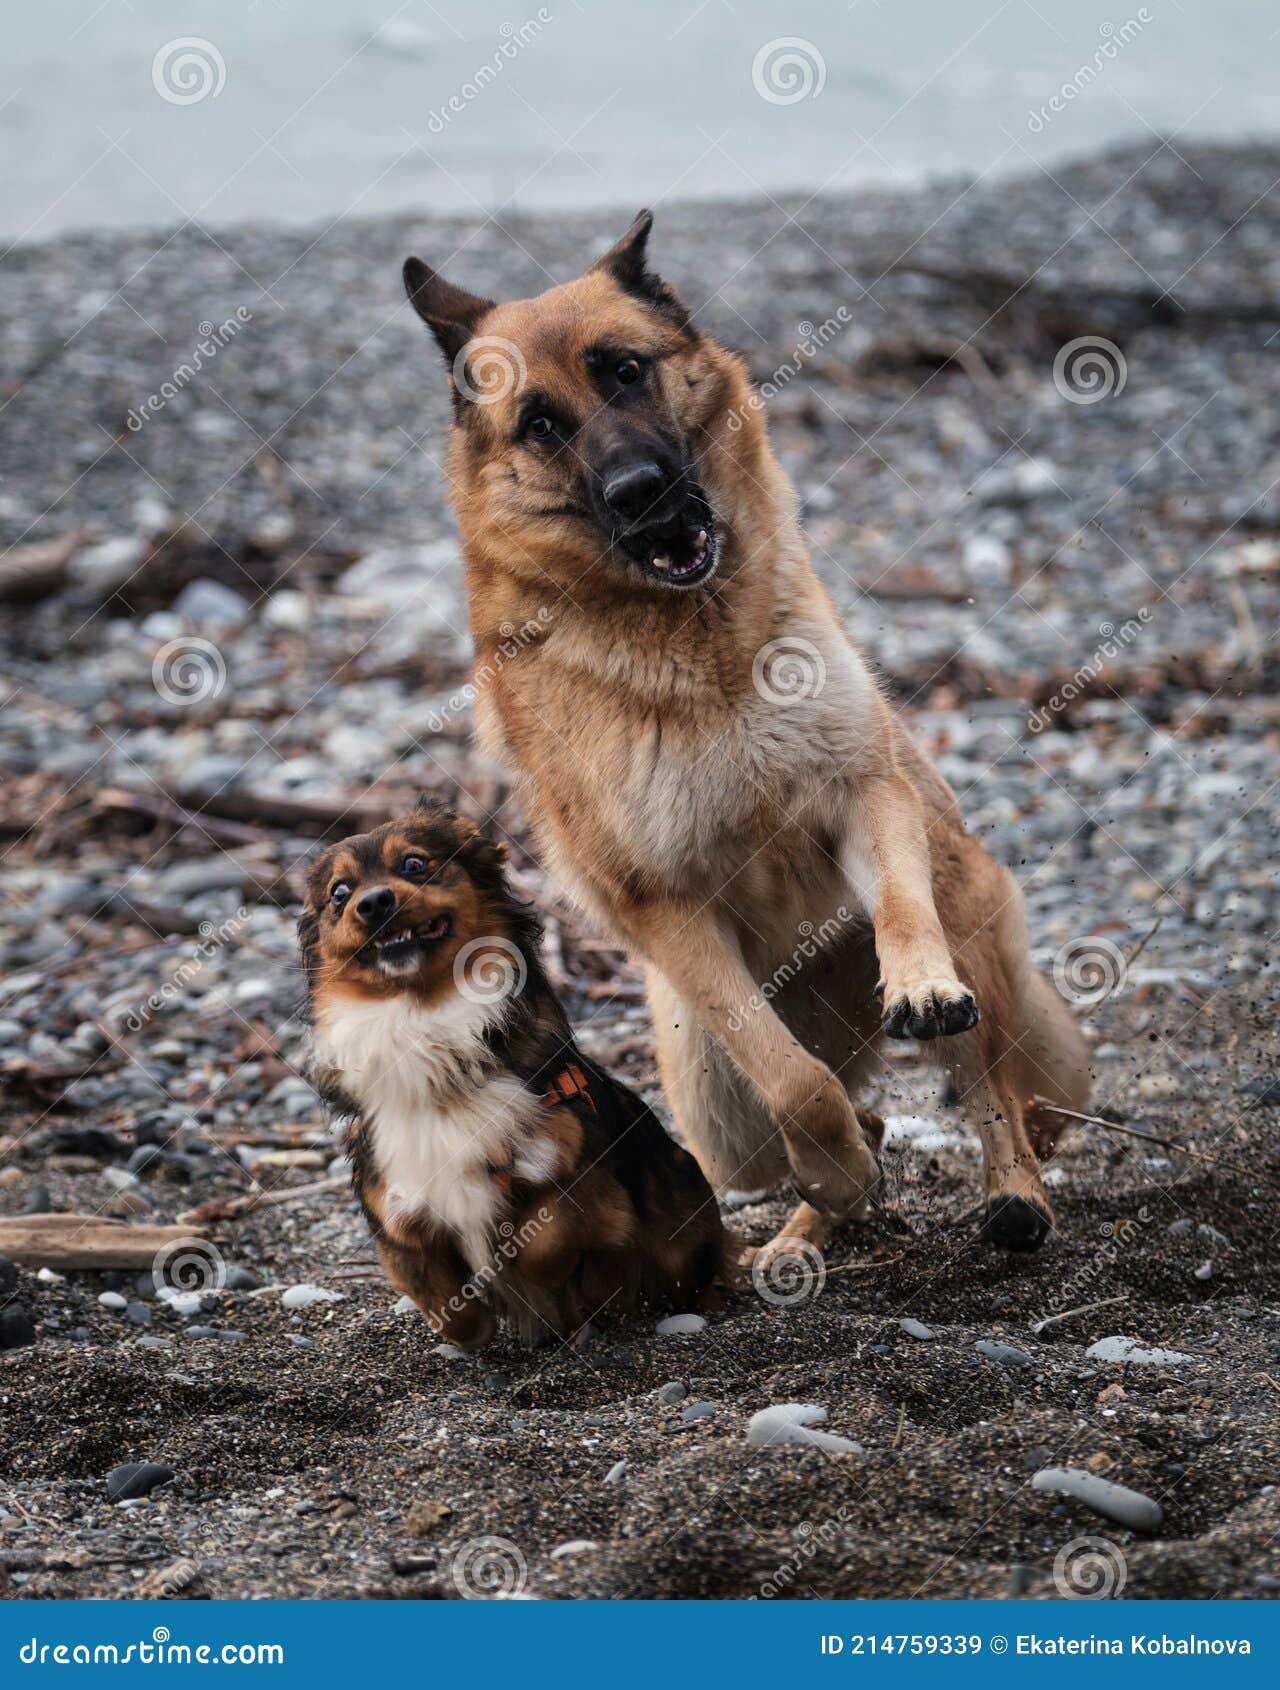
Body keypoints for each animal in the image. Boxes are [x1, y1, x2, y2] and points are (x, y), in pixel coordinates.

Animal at [295, 801, 723, 1345]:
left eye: (414, 864)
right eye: (340, 893)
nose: (371, 903)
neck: (423, 1018)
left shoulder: (581, 1171)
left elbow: (545, 1239)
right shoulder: (394, 1207)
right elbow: (448, 1308)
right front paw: (477, 1322)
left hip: (681, 1209)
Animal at [399, 211, 1088, 1264]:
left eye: (626, 370)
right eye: (541, 424)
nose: (641, 490)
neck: (700, 645)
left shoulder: (867, 793)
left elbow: (900, 910)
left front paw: (917, 982)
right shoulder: (669, 914)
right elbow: (794, 1080)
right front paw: (834, 1172)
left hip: (970, 924)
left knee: (991, 1087)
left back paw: (1012, 1193)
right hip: (717, 1114)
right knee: (842, 1108)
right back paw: (809, 1225)